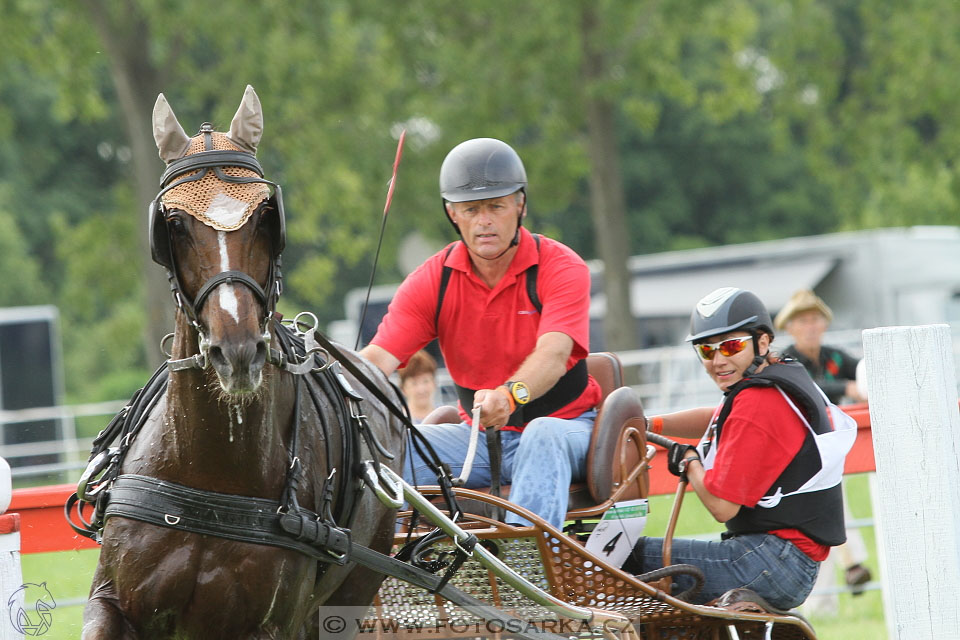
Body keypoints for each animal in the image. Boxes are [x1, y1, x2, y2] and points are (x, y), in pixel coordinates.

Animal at [77, 86, 404, 640]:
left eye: (266, 217)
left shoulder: (268, 623)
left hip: (348, 596)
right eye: (173, 224)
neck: (210, 471)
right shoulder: (112, 604)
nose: (237, 351)